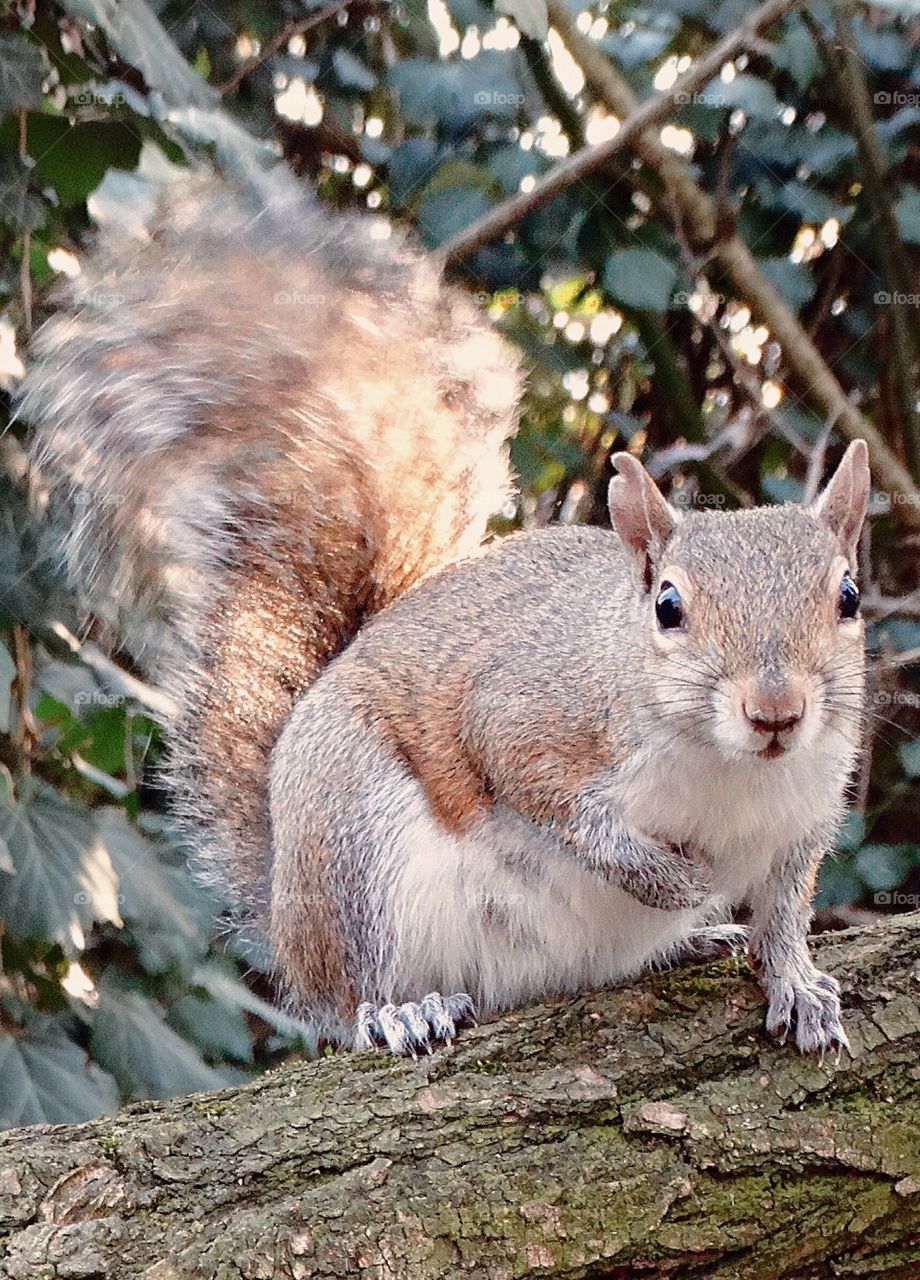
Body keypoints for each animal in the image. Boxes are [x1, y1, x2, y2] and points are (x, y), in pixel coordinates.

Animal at [21, 166, 870, 1057]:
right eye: (668, 607)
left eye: (848, 596)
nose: (775, 710)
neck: (729, 768)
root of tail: (287, 916)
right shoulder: (529, 716)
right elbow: (551, 798)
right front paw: (665, 877)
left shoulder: (805, 817)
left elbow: (786, 913)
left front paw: (798, 983)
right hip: (355, 839)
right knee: (352, 992)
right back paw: (399, 1010)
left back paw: (690, 940)